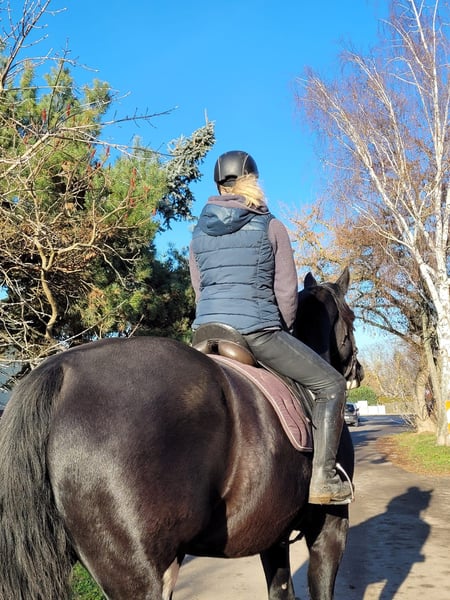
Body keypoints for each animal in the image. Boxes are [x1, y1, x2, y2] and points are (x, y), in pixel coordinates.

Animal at [0, 267, 363, 600]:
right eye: (353, 318)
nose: (358, 370)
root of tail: (61, 369)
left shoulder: (272, 535)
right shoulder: (330, 528)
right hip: (145, 576)